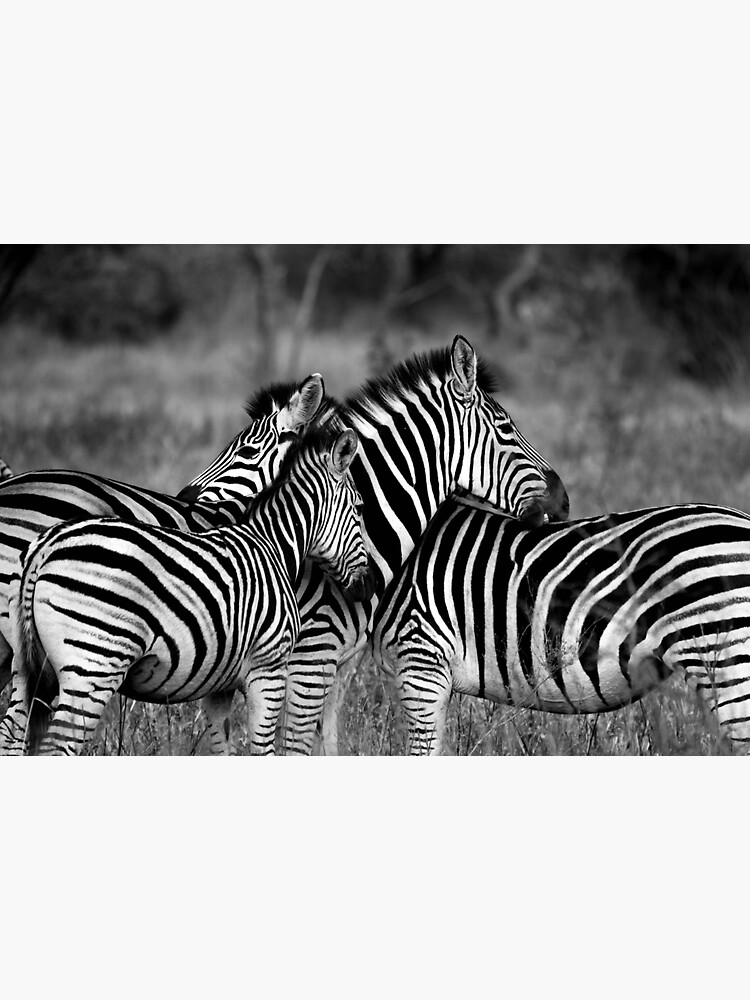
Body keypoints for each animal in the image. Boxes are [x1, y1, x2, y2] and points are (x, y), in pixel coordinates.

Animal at [4, 422, 373, 755]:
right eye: (359, 508)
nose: (367, 588)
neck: (273, 545)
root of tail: (46, 547)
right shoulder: (268, 668)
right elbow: (263, 750)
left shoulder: (219, 684)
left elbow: (224, 748)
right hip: (92, 667)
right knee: (57, 746)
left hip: (28, 669)